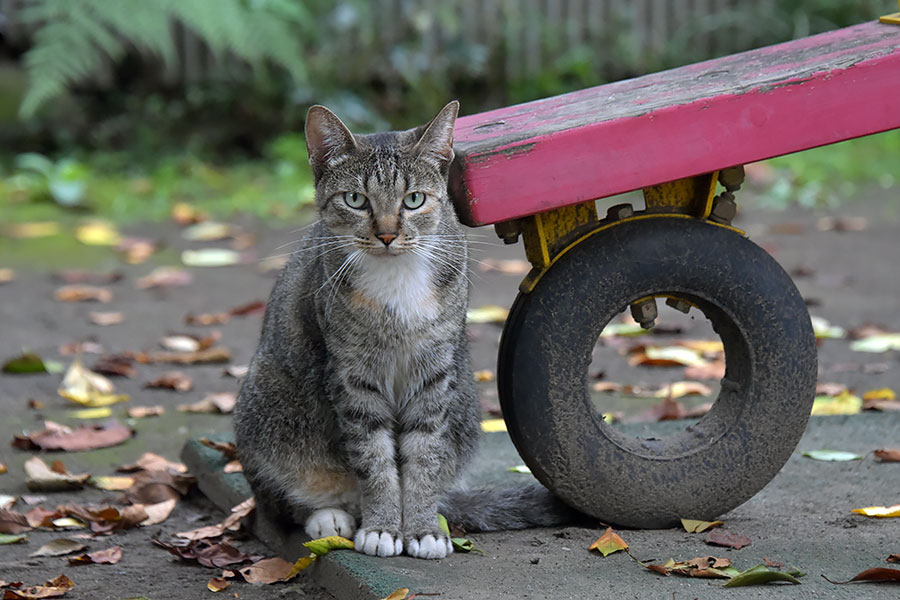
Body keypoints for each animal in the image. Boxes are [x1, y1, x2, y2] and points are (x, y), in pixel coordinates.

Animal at [232, 99, 568, 556]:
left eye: (413, 200)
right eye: (355, 199)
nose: (388, 234)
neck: (396, 279)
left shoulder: (435, 371)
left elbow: (424, 455)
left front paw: (422, 527)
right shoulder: (352, 373)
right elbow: (373, 457)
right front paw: (383, 527)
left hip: (464, 404)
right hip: (265, 405)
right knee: (281, 503)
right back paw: (330, 516)